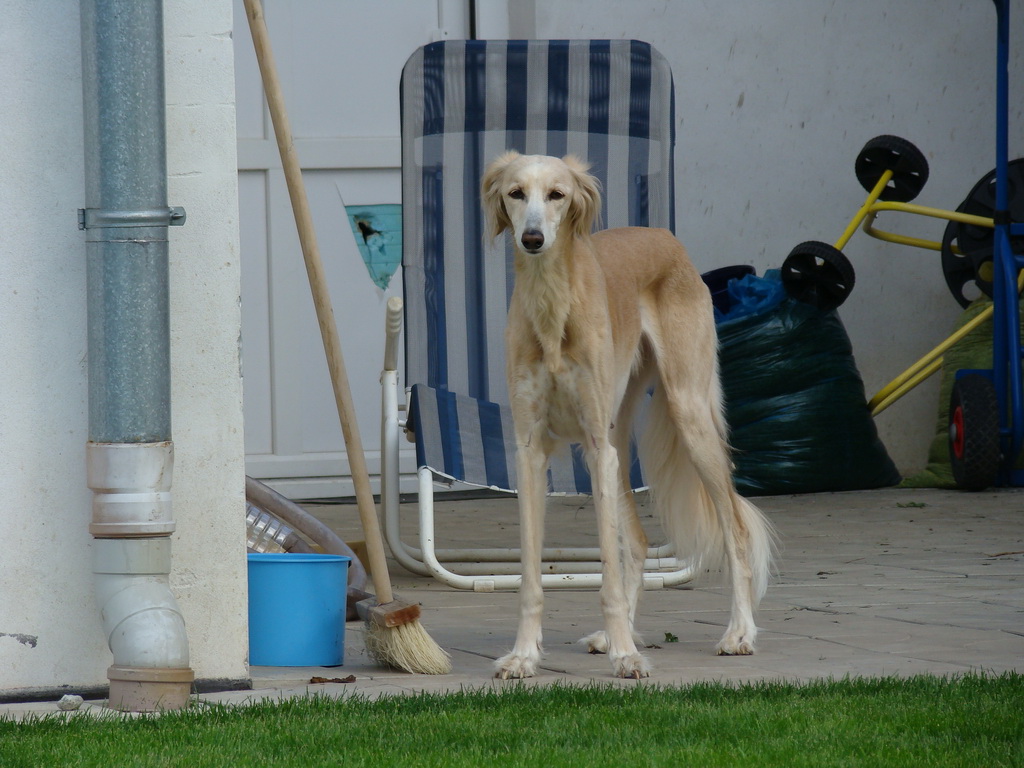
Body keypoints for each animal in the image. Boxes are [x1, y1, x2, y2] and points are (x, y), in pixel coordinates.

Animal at [483, 151, 770, 679]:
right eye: (516, 193)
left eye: (556, 194)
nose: (532, 239)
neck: (553, 308)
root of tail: (664, 235)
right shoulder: (531, 453)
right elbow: (531, 575)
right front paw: (524, 655)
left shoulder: (597, 447)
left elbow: (609, 575)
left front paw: (626, 656)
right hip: (615, 440)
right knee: (635, 542)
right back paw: (615, 637)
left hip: (685, 414)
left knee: (735, 530)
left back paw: (738, 633)